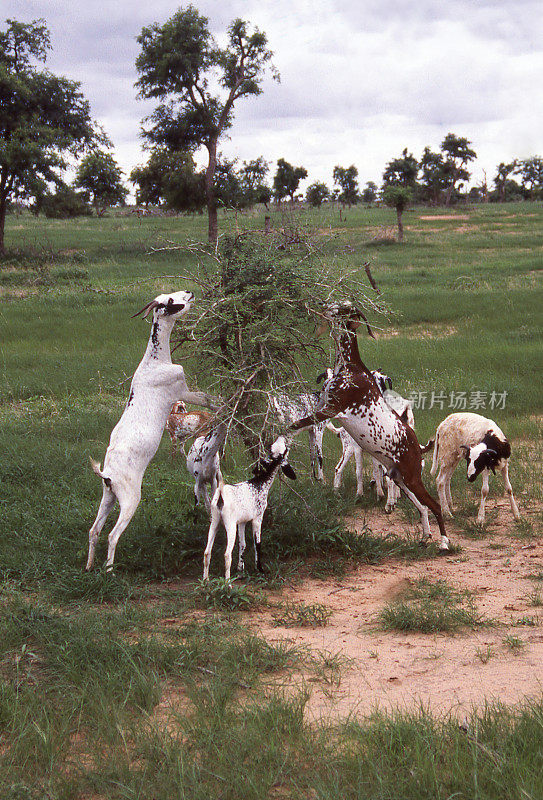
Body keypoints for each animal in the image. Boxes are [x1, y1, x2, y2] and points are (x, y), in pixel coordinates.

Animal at [86, 290, 218, 572]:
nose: (189, 293)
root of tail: (107, 474)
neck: (154, 362)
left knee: (94, 531)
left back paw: (89, 567)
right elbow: (211, 399)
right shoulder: (181, 391)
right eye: (170, 302)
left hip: (108, 497)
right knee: (112, 534)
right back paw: (109, 571)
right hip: (130, 499)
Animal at [204, 434, 298, 580]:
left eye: (271, 447)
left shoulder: (242, 522)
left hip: (215, 521)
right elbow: (257, 543)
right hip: (229, 524)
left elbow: (243, 544)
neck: (260, 483)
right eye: (284, 451)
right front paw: (259, 569)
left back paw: (205, 580)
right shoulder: (257, 518)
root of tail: (221, 492)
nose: (282, 436)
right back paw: (227, 582)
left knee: (207, 551)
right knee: (227, 554)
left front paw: (240, 569)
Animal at [294, 304, 450, 552]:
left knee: (434, 505)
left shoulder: (331, 410)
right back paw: (425, 536)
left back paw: (444, 541)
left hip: (412, 478)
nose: (320, 306)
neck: (350, 368)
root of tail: (418, 446)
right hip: (401, 480)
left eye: (341, 307)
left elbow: (293, 425)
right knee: (422, 507)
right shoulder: (322, 409)